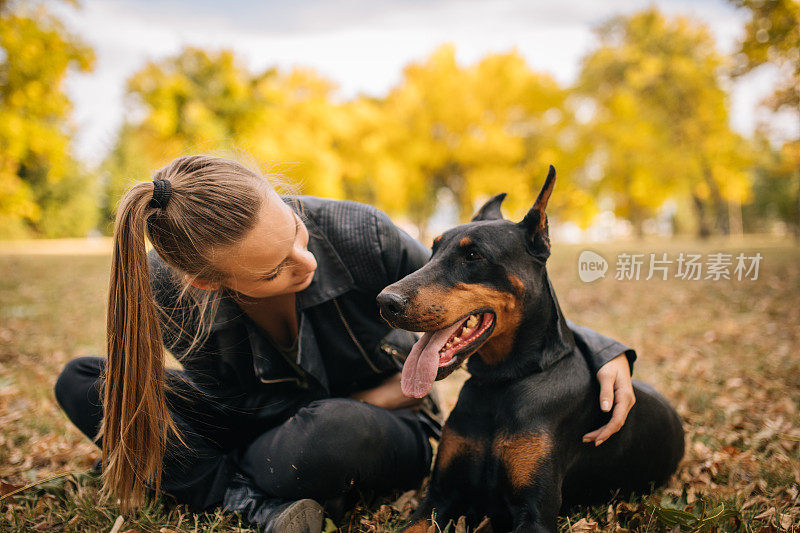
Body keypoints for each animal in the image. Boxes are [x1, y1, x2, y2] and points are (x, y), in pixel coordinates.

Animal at [376, 165, 680, 528]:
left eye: (473, 255)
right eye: (433, 250)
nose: (385, 302)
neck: (502, 384)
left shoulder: (535, 512)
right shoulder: (439, 496)